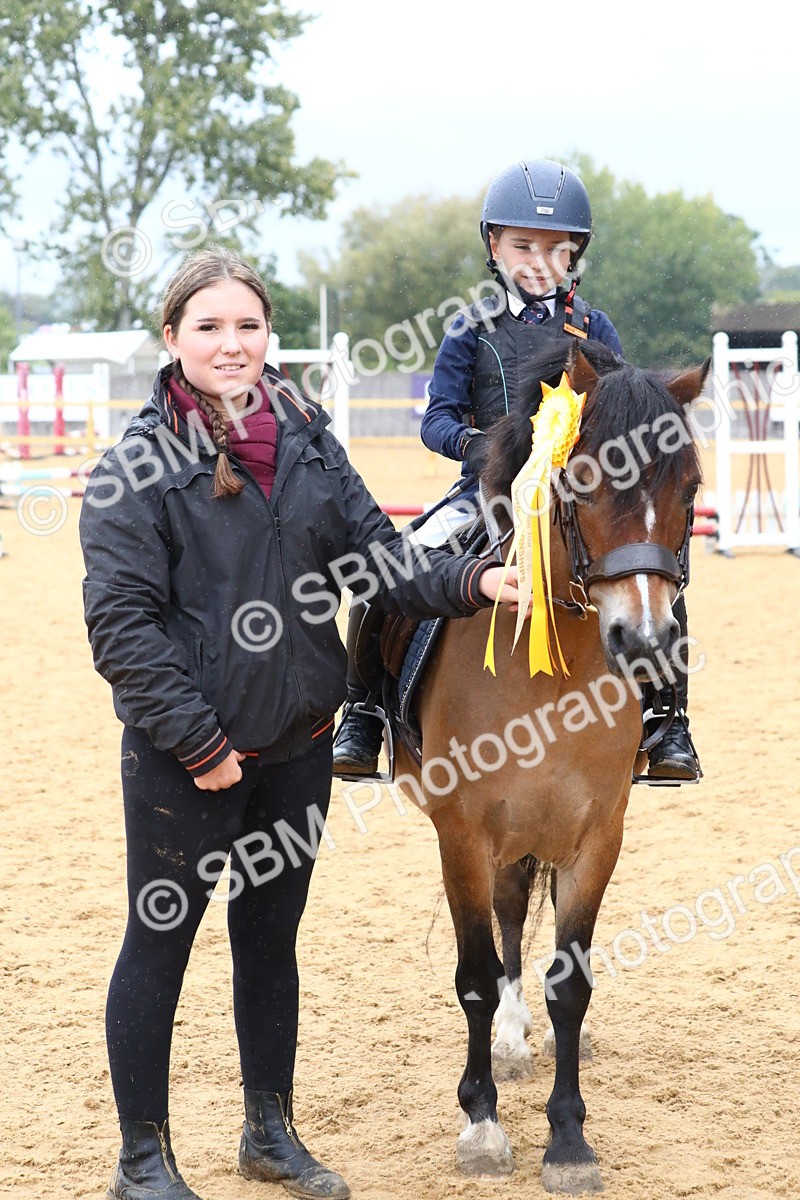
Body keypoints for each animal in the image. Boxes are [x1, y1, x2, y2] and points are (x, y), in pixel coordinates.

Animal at [393, 339, 708, 1194]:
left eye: (690, 488)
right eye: (586, 477)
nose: (646, 643)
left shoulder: (597, 835)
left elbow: (571, 983)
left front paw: (568, 1138)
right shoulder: (462, 834)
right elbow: (473, 973)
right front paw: (482, 1123)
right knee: (503, 929)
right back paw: (507, 1038)